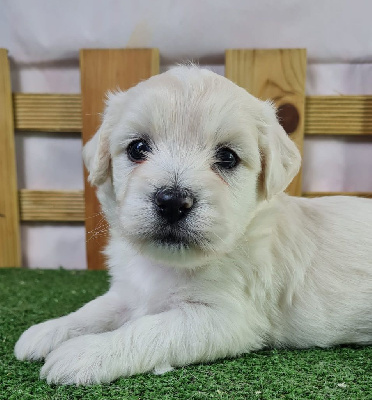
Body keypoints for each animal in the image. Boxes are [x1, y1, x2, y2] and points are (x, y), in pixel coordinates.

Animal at [14, 65, 372, 384]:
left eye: (227, 157)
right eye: (137, 148)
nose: (173, 202)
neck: (170, 264)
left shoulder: (222, 319)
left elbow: (148, 330)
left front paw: (84, 353)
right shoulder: (129, 291)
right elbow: (96, 309)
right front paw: (47, 331)